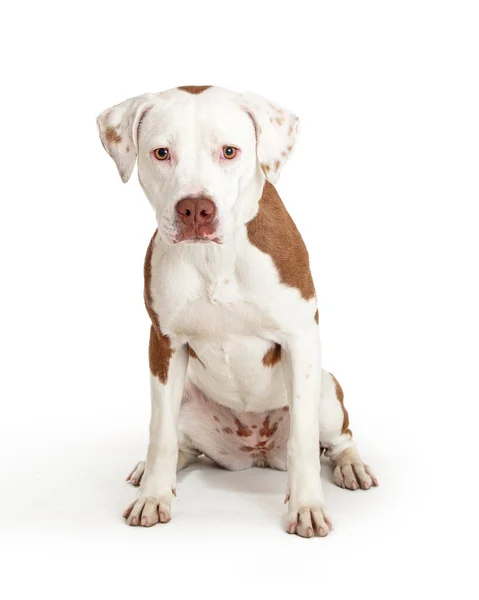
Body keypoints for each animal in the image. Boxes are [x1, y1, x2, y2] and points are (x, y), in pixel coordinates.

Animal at [97, 85, 378, 540]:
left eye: (229, 151)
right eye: (161, 153)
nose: (196, 209)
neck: (215, 258)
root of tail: (255, 453)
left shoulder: (300, 338)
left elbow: (304, 442)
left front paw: (307, 507)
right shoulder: (164, 344)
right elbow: (161, 436)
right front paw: (153, 497)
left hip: (326, 388)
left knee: (339, 438)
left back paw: (351, 467)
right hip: (188, 400)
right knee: (181, 443)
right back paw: (150, 473)